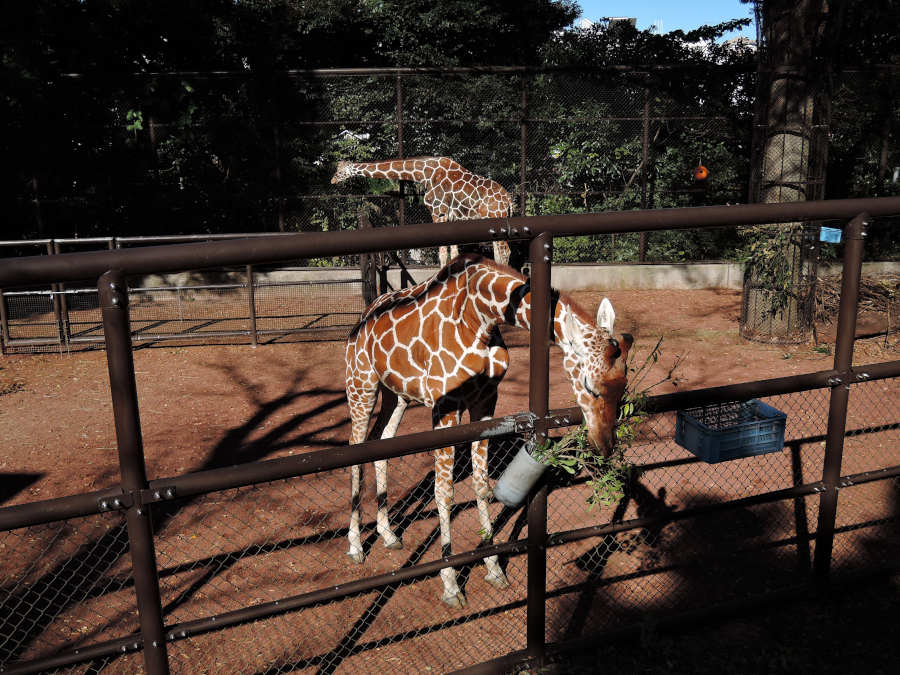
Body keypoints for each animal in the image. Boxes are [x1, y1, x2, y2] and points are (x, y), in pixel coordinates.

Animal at [330, 156, 512, 266]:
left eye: (340, 171)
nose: (332, 180)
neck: (424, 174)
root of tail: (508, 200)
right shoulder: (450, 216)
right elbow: (453, 253)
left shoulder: (438, 212)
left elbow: (442, 254)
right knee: (499, 252)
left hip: (497, 218)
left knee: (505, 252)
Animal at [344, 255, 632, 612]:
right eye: (590, 386)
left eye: (624, 384)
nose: (604, 445)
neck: (480, 316)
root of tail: (361, 318)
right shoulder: (445, 407)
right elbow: (444, 492)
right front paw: (452, 586)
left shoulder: (485, 402)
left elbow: (482, 486)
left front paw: (494, 568)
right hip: (361, 383)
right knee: (355, 447)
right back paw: (356, 547)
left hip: (395, 394)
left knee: (381, 442)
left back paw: (388, 534)